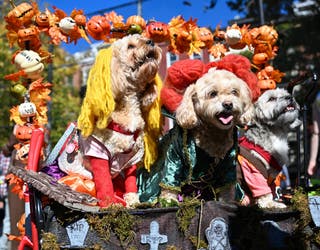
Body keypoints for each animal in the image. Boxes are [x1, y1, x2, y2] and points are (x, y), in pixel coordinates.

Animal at [77, 34, 162, 208]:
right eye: (130, 46)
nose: (151, 41)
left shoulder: (132, 159)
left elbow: (131, 182)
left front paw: (133, 201)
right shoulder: (99, 153)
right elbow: (104, 182)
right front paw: (110, 204)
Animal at [138, 54, 260, 203]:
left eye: (234, 92)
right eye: (213, 93)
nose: (228, 104)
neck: (214, 133)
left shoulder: (228, 165)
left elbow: (227, 190)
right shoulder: (174, 158)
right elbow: (169, 185)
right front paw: (169, 202)